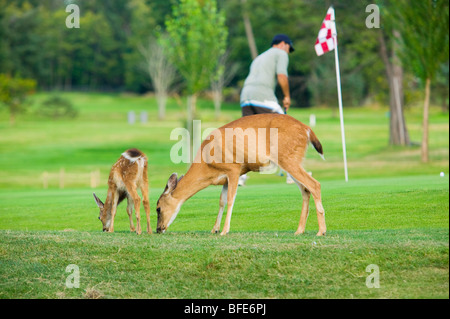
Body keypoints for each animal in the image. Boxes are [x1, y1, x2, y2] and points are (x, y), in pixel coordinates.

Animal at [156, 114, 326, 236]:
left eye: (158, 208)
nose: (158, 229)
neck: (207, 167)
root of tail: (307, 129)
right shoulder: (224, 178)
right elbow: (221, 201)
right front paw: (215, 229)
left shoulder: (234, 169)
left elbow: (231, 199)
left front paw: (224, 231)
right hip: (291, 160)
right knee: (305, 189)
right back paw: (299, 230)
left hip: (288, 158)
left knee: (315, 184)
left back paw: (321, 231)